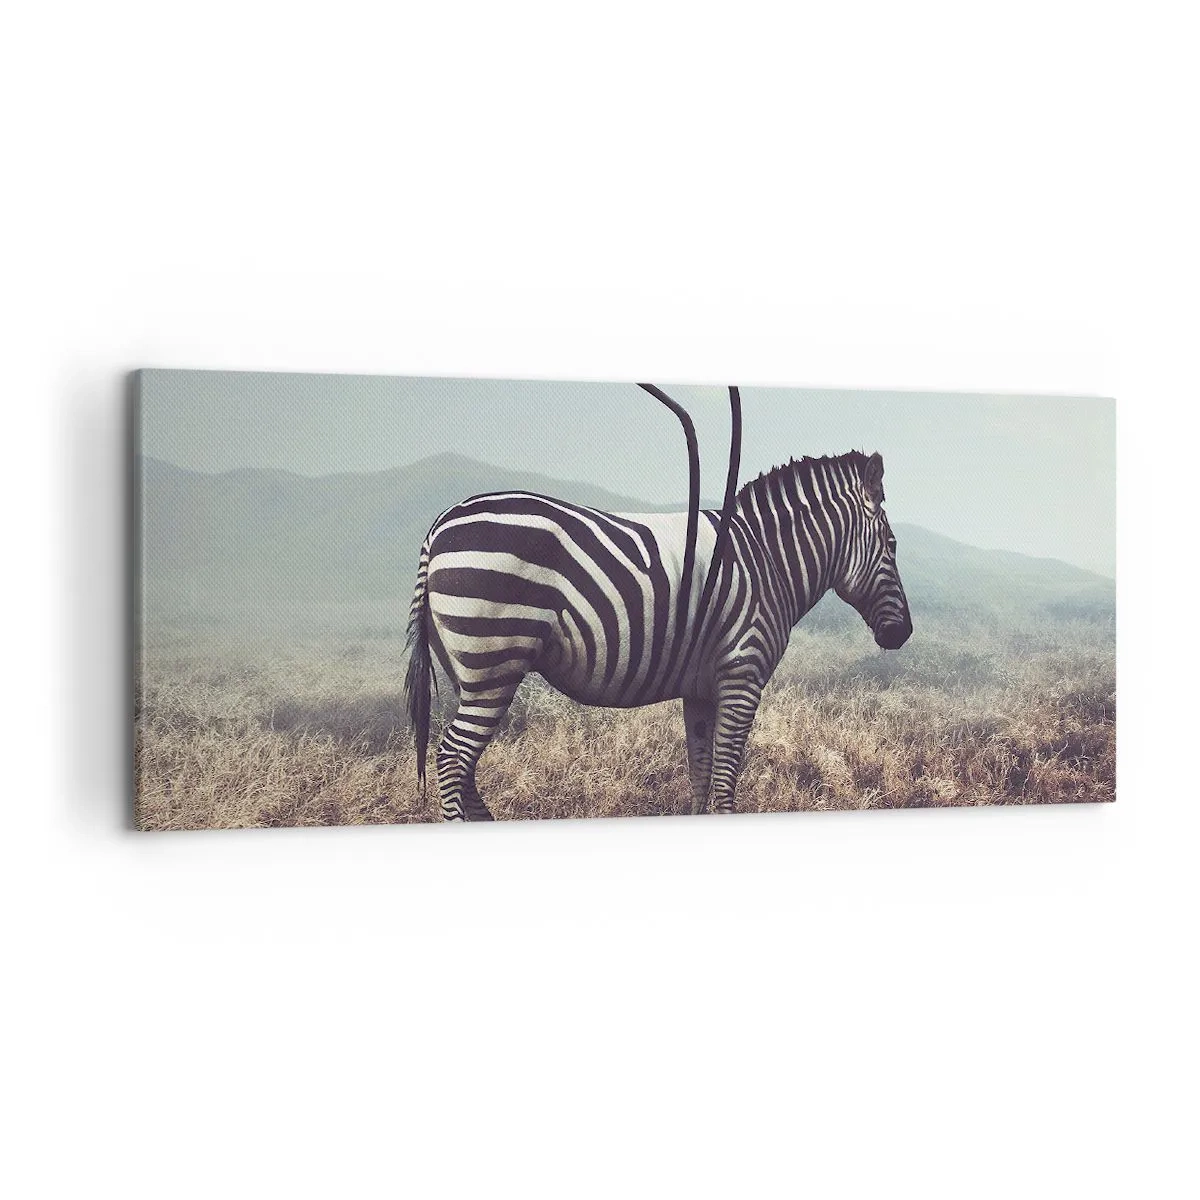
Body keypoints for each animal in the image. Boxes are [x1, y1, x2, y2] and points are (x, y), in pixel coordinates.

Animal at [404, 449, 912, 820]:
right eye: (891, 547)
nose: (903, 633)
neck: (766, 560)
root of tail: (439, 525)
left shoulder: (702, 688)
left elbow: (702, 776)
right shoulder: (742, 676)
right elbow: (725, 784)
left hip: (468, 673)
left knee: (464, 767)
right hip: (494, 664)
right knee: (452, 760)